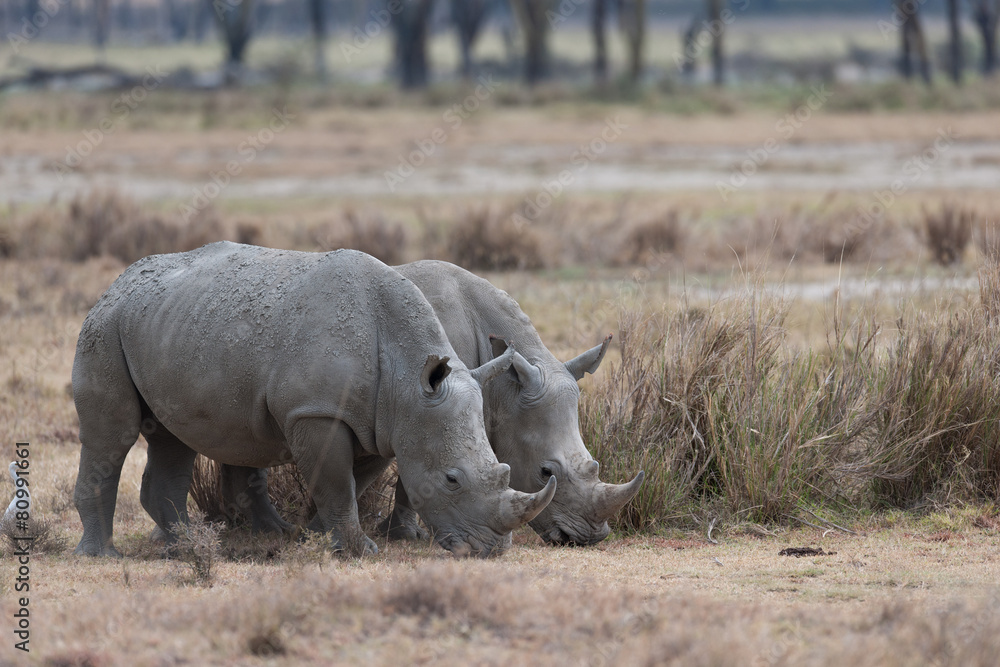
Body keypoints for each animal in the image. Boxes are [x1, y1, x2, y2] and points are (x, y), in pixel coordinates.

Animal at [71, 242, 555, 559]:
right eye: (452, 480)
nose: (491, 549)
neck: (407, 377)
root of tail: (117, 283)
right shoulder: (317, 411)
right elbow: (338, 484)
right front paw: (361, 552)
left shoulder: (381, 420)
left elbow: (353, 483)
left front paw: (318, 537)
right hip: (105, 326)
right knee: (113, 436)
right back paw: (102, 556)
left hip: (167, 324)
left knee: (173, 438)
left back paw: (185, 549)